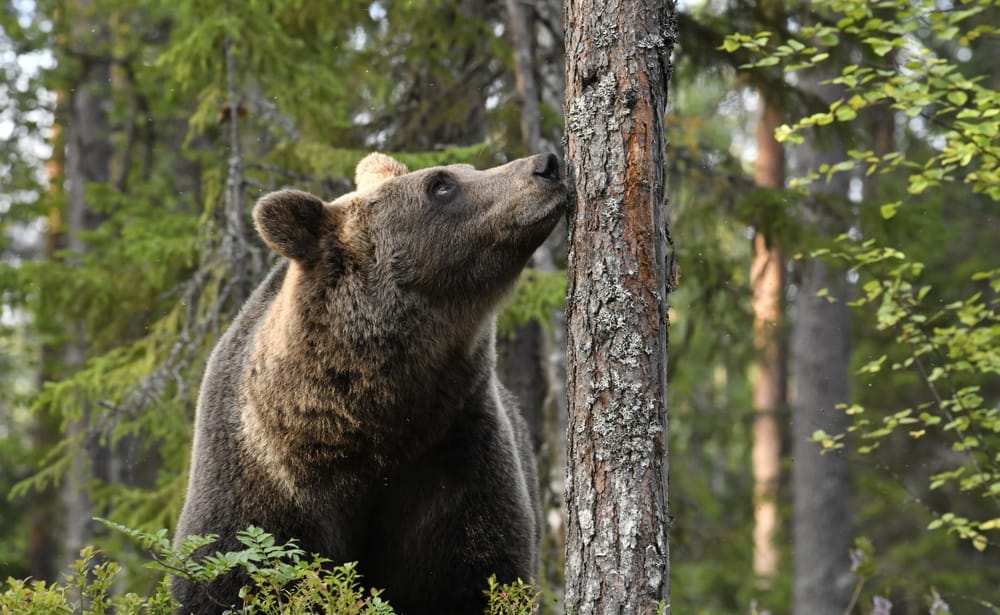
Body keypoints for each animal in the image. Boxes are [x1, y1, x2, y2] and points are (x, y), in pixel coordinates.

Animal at [172, 151, 566, 614]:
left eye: (467, 168)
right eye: (441, 185)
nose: (546, 164)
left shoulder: (454, 461)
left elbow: (474, 574)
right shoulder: (259, 481)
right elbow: (227, 577)